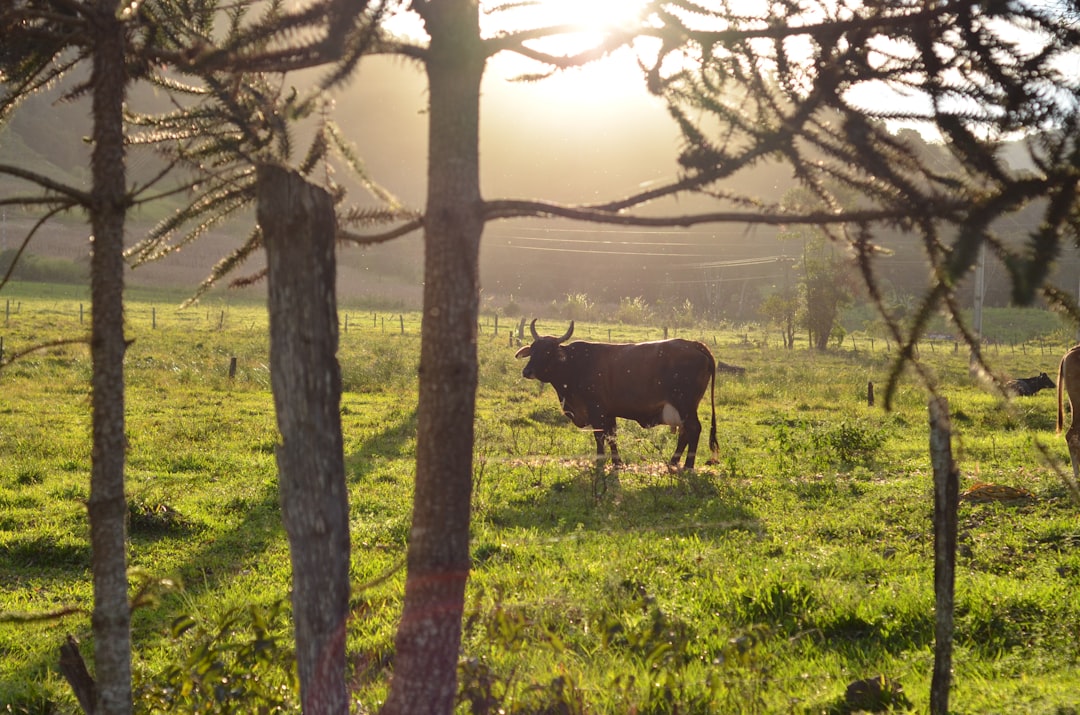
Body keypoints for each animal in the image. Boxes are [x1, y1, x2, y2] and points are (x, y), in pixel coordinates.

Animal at [511, 319, 717, 470]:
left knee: (693, 429)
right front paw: (617, 462)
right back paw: (673, 462)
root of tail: (695, 344)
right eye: (533, 350)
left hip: (685, 405)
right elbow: (612, 437)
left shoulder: (596, 410)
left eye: (547, 351)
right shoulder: (609, 412)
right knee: (685, 433)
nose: (527, 371)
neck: (574, 364)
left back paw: (688, 466)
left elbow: (600, 436)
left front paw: (600, 461)